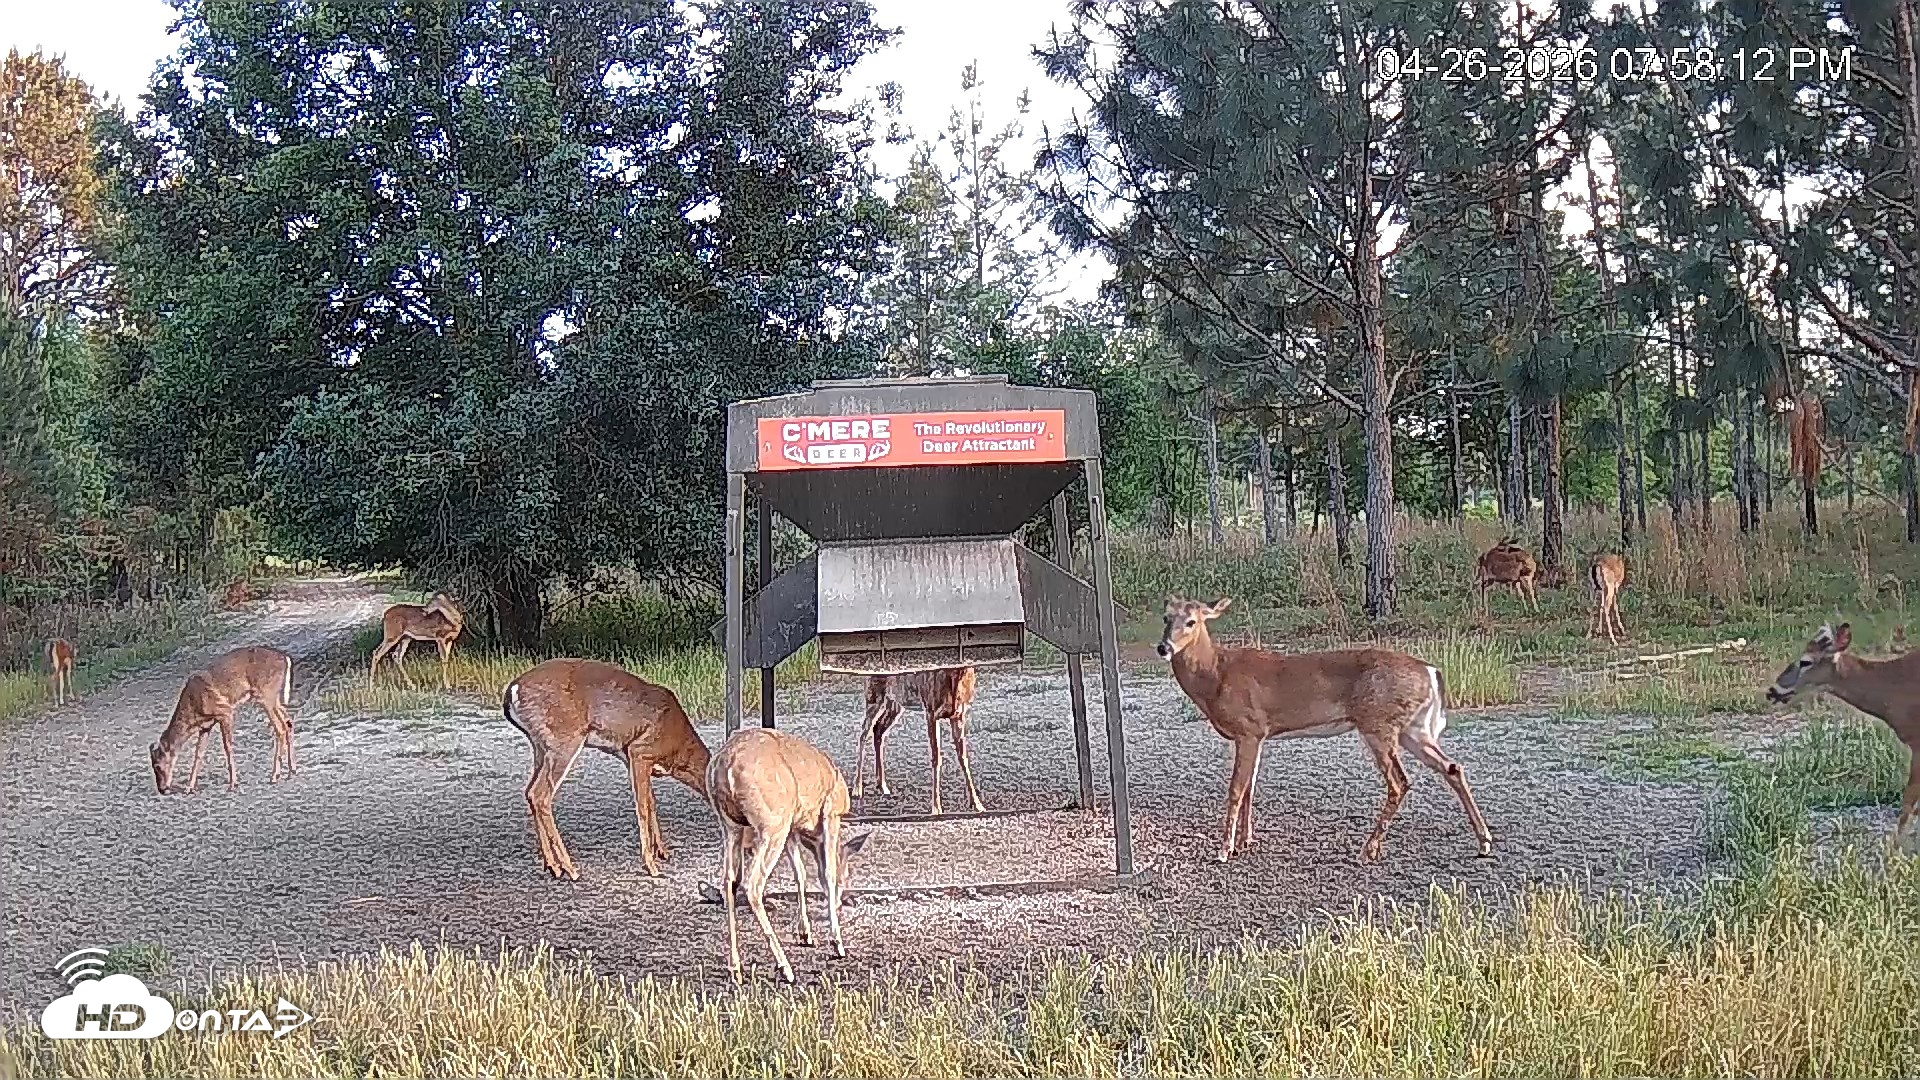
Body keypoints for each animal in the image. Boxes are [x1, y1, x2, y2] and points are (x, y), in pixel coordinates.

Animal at [150, 646, 296, 795]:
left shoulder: (224, 711)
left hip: (266, 695)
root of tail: (286, 659)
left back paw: (275, 776)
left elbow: (227, 747)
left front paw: (233, 784)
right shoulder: (205, 726)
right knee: (288, 722)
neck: (193, 710)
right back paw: (291, 771)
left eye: (157, 766)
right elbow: (198, 754)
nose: (162, 789)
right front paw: (189, 787)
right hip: (273, 698)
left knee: (280, 728)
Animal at [501, 658, 711, 879]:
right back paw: (570, 868)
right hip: (564, 739)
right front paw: (651, 865)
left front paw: (662, 851)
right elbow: (643, 807)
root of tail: (513, 689)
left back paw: (553, 866)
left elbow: (651, 801)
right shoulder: (640, 751)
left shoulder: (631, 759)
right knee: (540, 794)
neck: (679, 750)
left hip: (540, 746)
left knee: (529, 792)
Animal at [708, 726, 871, 982]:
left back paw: (735, 968)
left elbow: (801, 873)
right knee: (753, 884)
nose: (840, 901)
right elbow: (827, 874)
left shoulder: (794, 828)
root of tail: (725, 765)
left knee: (729, 881)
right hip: (773, 822)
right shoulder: (830, 813)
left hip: (731, 825)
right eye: (847, 877)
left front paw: (805, 933)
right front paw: (837, 942)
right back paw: (785, 967)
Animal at [854, 667, 984, 814]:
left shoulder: (959, 714)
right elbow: (936, 758)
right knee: (863, 734)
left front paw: (977, 804)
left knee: (878, 730)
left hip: (895, 702)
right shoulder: (931, 711)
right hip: (873, 696)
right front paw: (936, 808)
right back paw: (857, 789)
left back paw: (882, 785)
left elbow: (963, 757)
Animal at [1157, 596, 1494, 864]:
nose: (1163, 647)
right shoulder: (1259, 734)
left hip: (1378, 723)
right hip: (1413, 728)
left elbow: (1237, 789)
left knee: (1400, 782)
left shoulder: (1248, 728)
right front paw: (1245, 842)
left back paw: (1368, 849)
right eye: (1165, 617)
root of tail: (1430, 672)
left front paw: (1225, 849)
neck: (1215, 675)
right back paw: (1484, 842)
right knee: (1452, 767)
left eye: (1191, 621)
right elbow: (1251, 786)